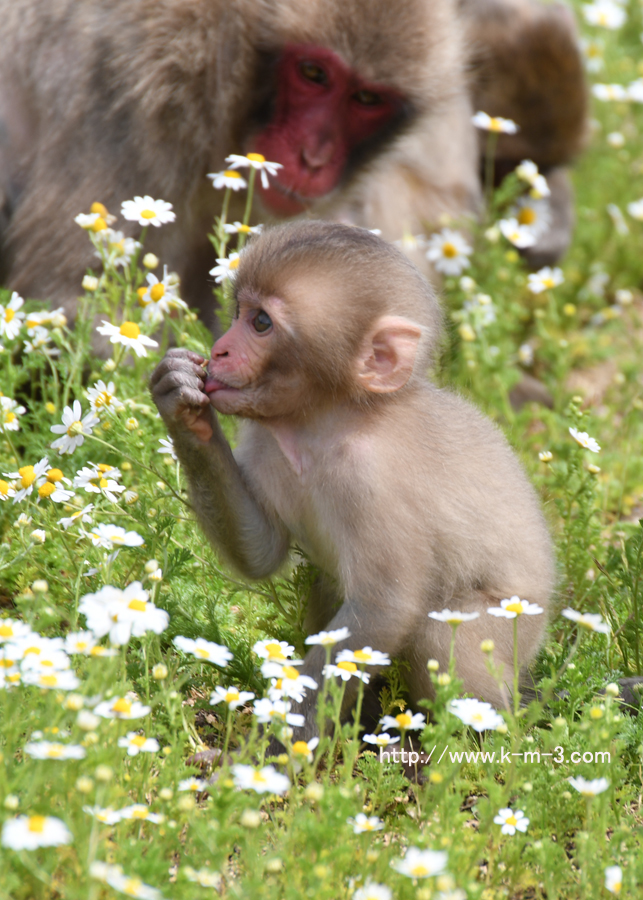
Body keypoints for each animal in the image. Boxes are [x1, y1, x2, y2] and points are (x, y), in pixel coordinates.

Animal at [151, 221, 552, 736]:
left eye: (260, 323)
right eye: (239, 312)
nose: (219, 348)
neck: (324, 424)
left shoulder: (372, 481)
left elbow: (384, 609)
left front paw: (281, 741)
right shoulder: (265, 439)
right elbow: (263, 552)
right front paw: (182, 406)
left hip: (515, 625)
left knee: (442, 636)